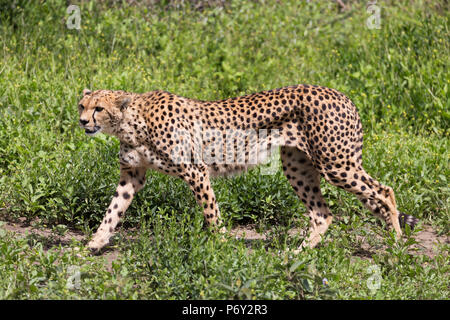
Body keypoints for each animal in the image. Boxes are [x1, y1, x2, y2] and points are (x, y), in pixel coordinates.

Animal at [77, 85, 418, 255]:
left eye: (99, 108)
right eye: (82, 106)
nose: (81, 121)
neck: (131, 123)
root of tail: (341, 94)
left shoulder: (196, 171)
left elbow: (211, 214)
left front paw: (222, 248)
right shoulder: (131, 176)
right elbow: (112, 212)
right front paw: (93, 244)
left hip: (336, 164)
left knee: (385, 191)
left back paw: (395, 243)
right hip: (298, 166)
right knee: (324, 213)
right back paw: (298, 254)